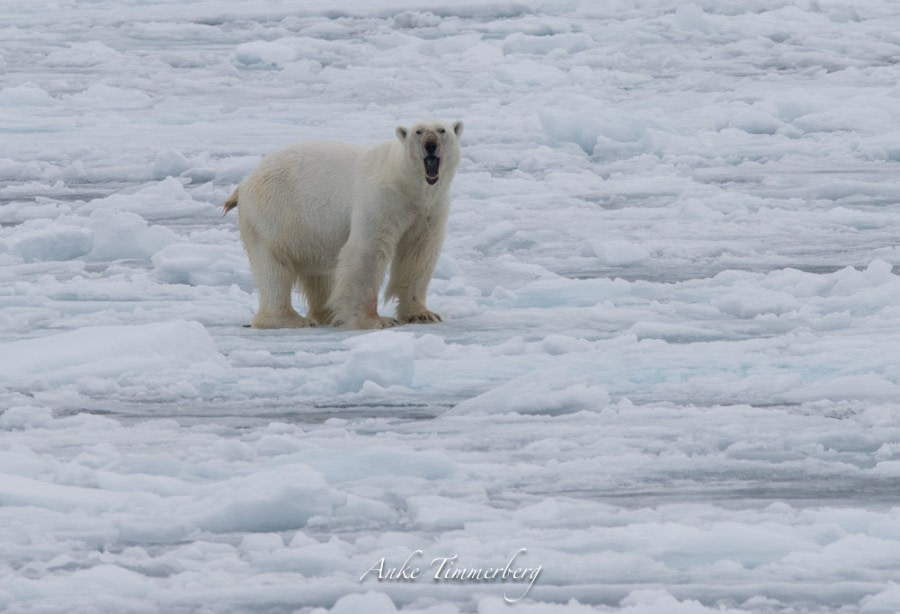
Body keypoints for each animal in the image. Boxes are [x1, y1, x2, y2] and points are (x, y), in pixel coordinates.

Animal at [223, 121, 464, 332]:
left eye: (441, 130)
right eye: (418, 131)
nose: (430, 145)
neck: (406, 182)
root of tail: (244, 183)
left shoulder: (429, 210)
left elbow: (418, 254)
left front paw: (423, 314)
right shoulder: (381, 199)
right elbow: (367, 252)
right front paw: (375, 320)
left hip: (306, 229)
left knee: (318, 272)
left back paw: (327, 314)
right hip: (274, 214)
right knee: (274, 265)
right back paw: (289, 319)